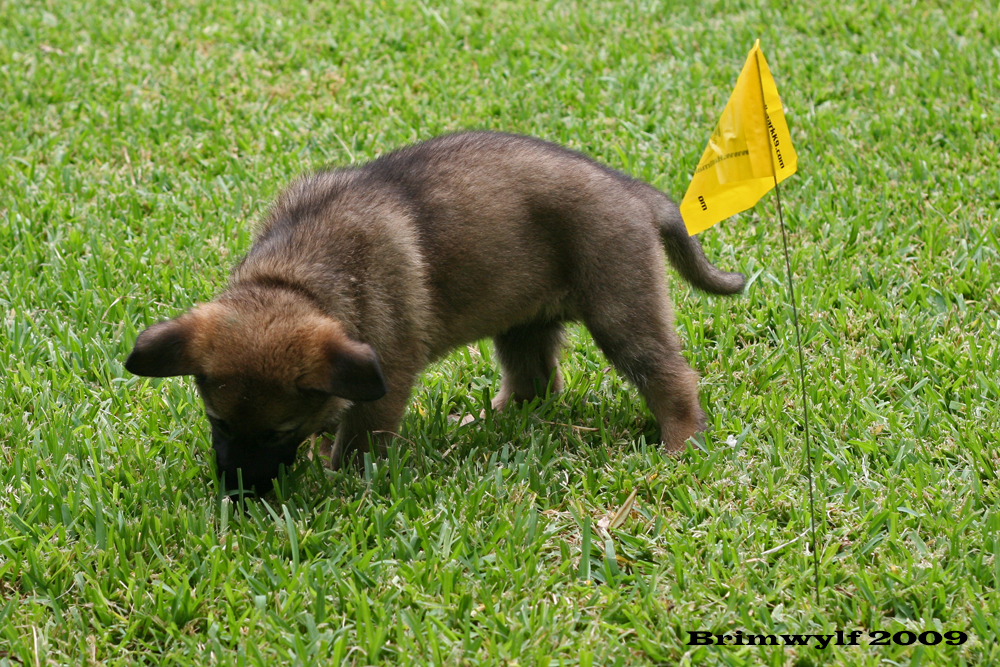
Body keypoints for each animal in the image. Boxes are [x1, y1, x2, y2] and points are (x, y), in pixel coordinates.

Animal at [125, 132, 744, 493]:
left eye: (281, 430)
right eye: (218, 421)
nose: (239, 495)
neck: (298, 279)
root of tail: (638, 194)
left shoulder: (388, 373)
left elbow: (360, 433)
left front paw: (341, 479)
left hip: (622, 308)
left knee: (670, 375)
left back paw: (680, 443)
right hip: (521, 323)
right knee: (535, 384)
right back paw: (482, 423)